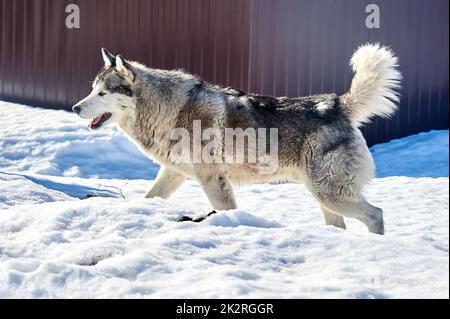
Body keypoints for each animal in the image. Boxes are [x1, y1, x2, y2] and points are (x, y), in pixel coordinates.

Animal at [73, 43, 400, 235]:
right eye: (92, 90)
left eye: (103, 93)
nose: (75, 108)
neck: (168, 110)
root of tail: (337, 104)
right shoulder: (173, 173)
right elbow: (150, 197)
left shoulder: (212, 179)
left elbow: (226, 210)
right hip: (323, 198)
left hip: (330, 194)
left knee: (377, 214)